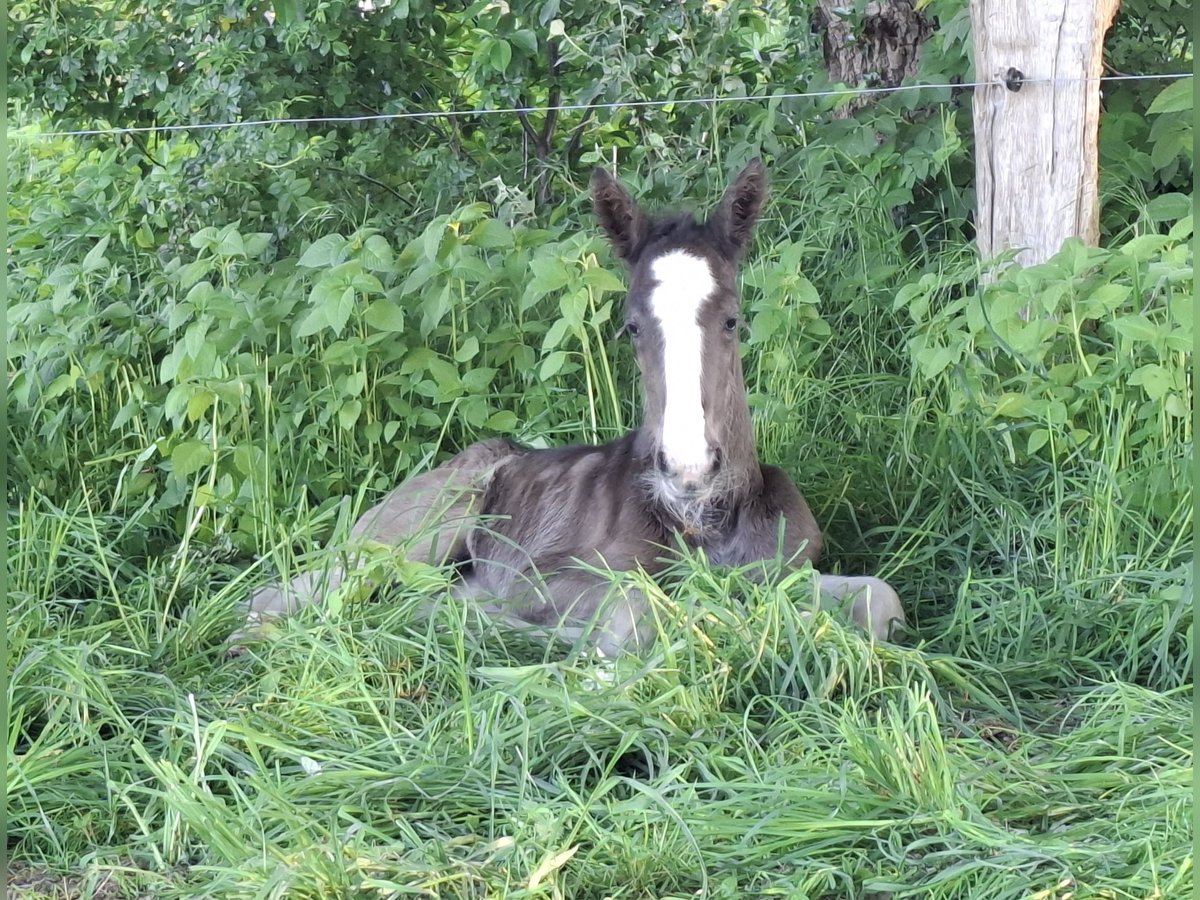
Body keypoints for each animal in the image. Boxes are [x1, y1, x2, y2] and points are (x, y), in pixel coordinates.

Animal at [231, 159, 905, 656]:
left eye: (733, 320)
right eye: (631, 327)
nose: (688, 469)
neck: (704, 523)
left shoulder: (784, 569)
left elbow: (880, 600)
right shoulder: (546, 573)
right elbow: (639, 603)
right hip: (411, 536)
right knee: (289, 596)